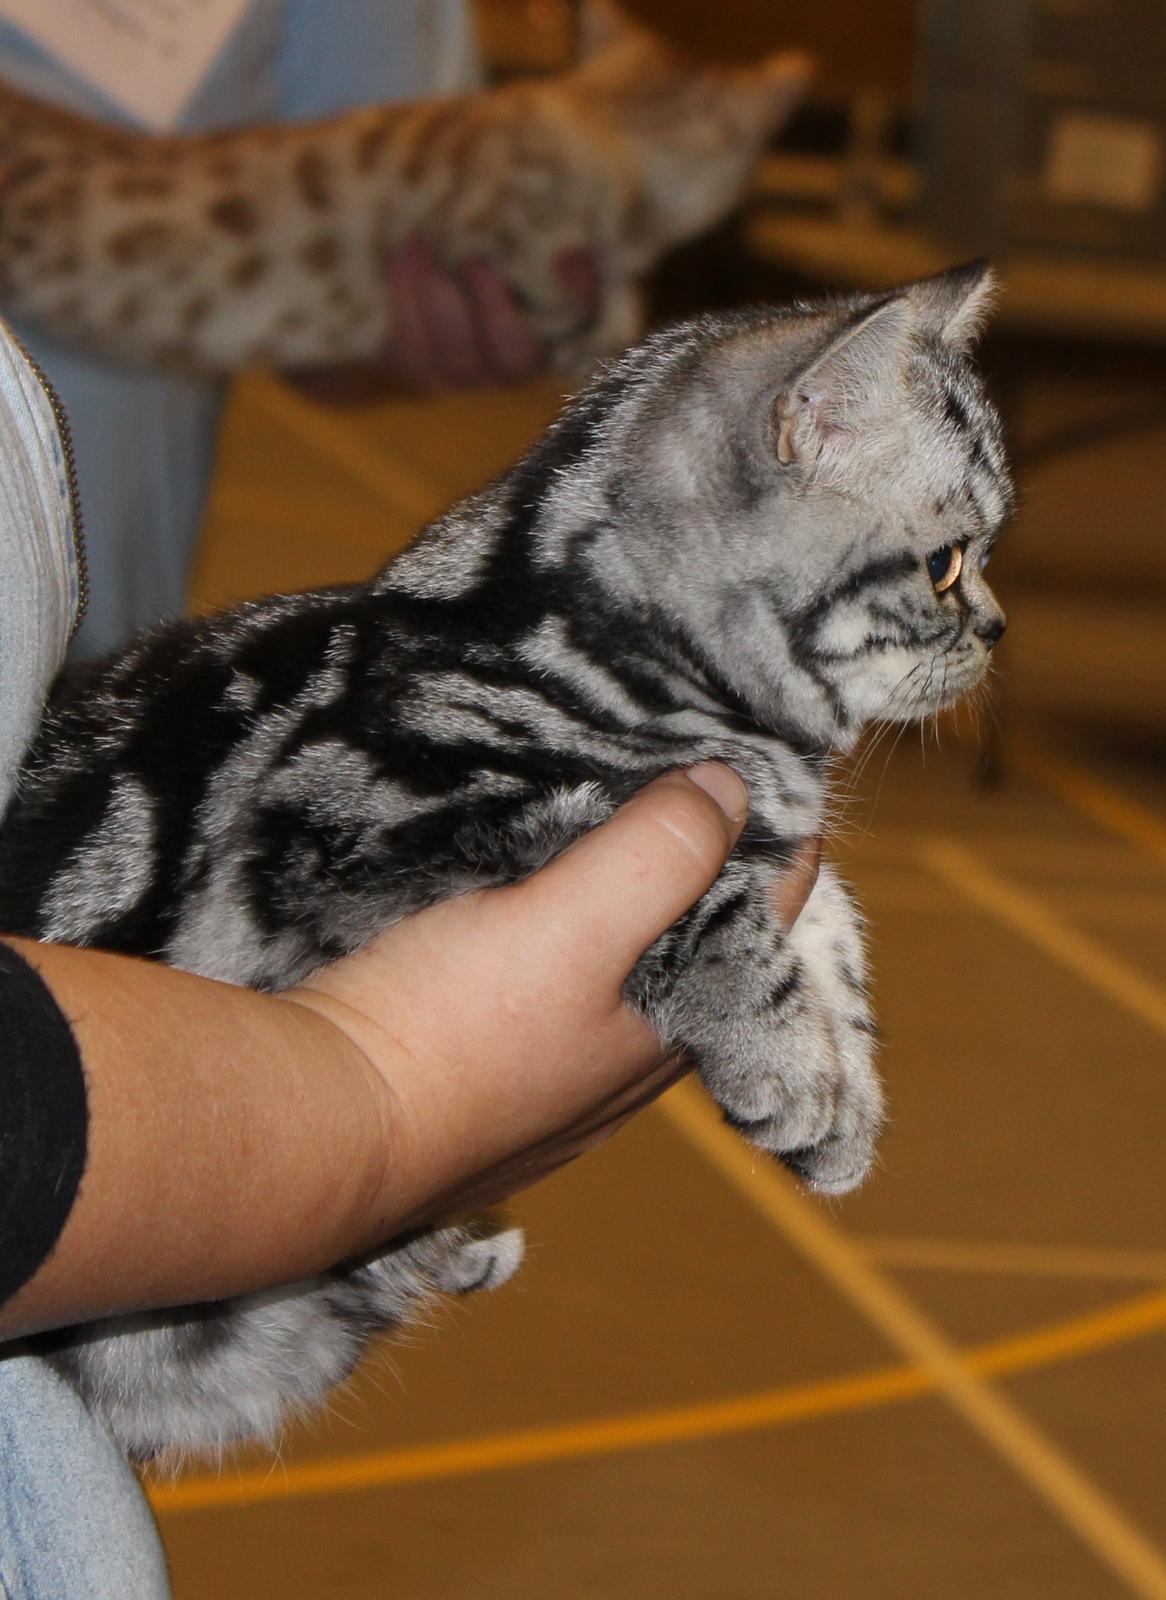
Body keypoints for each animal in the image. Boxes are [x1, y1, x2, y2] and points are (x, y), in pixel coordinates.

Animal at [0, 265, 1010, 1465]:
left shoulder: (778, 838)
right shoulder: (374, 811)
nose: (998, 630)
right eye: (946, 565)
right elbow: (702, 899)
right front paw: (781, 1060)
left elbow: (831, 930)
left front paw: (844, 1090)